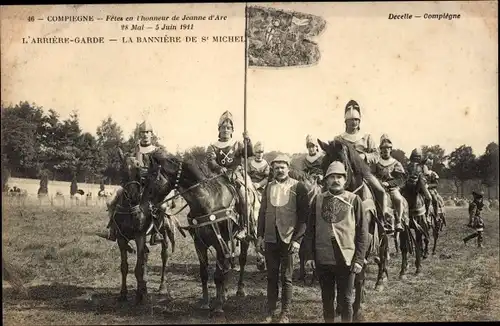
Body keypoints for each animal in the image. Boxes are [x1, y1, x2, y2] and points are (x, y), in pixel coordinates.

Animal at [113, 149, 176, 304]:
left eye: (138, 172)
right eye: (122, 171)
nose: (133, 196)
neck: (129, 209)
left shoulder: (139, 236)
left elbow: (138, 268)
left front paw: (139, 296)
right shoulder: (121, 239)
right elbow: (124, 267)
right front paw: (123, 293)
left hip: (163, 234)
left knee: (164, 256)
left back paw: (161, 287)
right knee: (146, 255)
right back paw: (144, 287)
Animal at [143, 152, 264, 314]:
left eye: (153, 177)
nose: (143, 206)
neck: (207, 202)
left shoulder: (220, 242)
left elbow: (218, 275)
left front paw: (218, 305)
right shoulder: (199, 244)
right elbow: (205, 273)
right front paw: (206, 302)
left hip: (243, 238)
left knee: (242, 260)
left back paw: (240, 290)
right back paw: (225, 293)